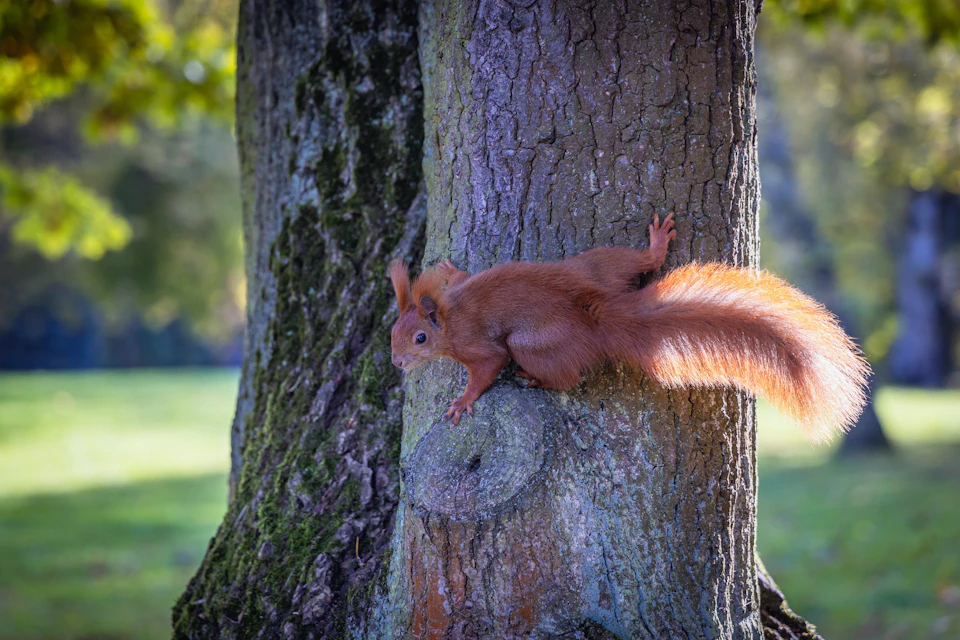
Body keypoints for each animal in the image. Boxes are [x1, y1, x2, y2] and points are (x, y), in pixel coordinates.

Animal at [389, 213, 870, 442]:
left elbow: (486, 368)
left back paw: (535, 379)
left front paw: (462, 402)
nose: (396, 363)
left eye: (420, 339)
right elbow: (461, 275)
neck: (450, 316)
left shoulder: (478, 345)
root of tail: (596, 312)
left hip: (533, 341)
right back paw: (655, 246)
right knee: (634, 263)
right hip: (597, 264)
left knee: (568, 376)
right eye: (392, 331)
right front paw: (450, 268)